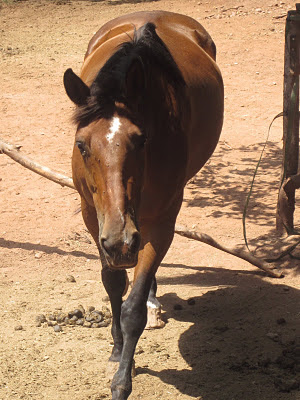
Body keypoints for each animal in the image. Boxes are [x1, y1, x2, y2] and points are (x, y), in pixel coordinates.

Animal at [63, 10, 223, 398]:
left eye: (141, 140)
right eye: (81, 145)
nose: (122, 242)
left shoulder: (161, 222)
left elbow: (132, 307)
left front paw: (123, 379)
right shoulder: (94, 217)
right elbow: (112, 283)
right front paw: (117, 349)